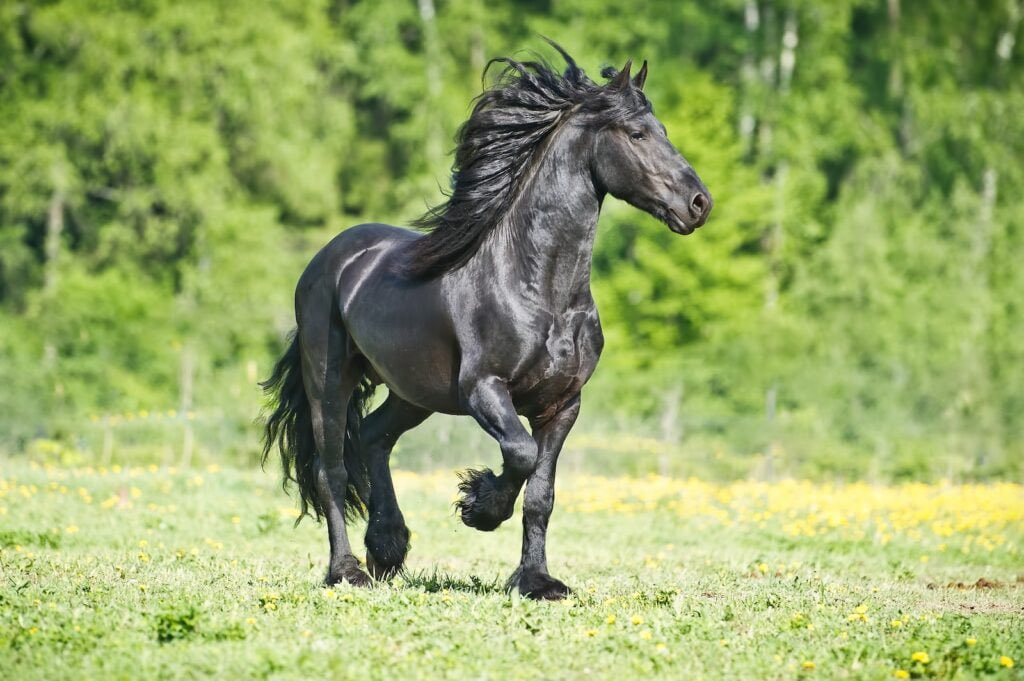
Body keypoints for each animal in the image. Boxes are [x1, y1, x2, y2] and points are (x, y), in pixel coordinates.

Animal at [261, 42, 711, 600]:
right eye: (637, 134)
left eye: (663, 129)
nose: (699, 204)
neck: (539, 290)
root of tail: (329, 258)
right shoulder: (483, 389)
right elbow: (519, 454)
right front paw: (479, 507)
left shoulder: (563, 404)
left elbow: (541, 493)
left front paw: (537, 581)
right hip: (329, 379)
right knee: (332, 470)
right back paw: (348, 570)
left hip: (414, 391)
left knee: (373, 436)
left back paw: (388, 547)